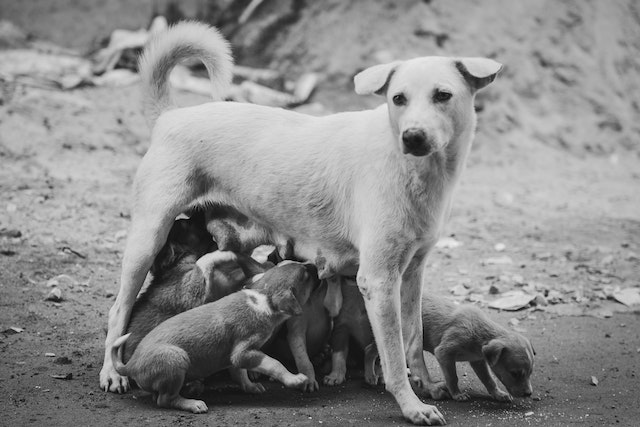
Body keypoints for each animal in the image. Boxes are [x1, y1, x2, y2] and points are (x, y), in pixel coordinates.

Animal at [112, 262, 320, 412]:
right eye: (305, 276)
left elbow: (241, 373)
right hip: (176, 358)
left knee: (159, 396)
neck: (263, 298)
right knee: (164, 400)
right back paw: (192, 403)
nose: (315, 265)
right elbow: (274, 363)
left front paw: (250, 387)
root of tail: (131, 365)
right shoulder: (243, 352)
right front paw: (295, 379)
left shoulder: (233, 356)